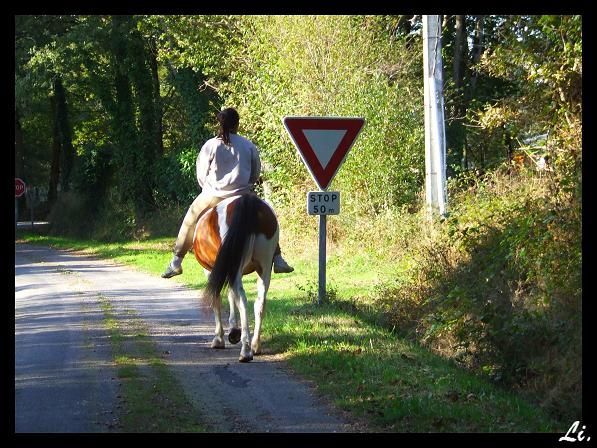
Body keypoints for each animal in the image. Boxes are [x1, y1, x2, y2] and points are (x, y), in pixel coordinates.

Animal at [192, 194, 279, 362]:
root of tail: (248, 200)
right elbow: (230, 295)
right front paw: (233, 330)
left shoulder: (212, 272)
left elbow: (217, 300)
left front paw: (220, 338)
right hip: (265, 267)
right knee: (260, 302)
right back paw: (255, 345)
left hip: (236, 267)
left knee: (242, 300)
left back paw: (245, 351)